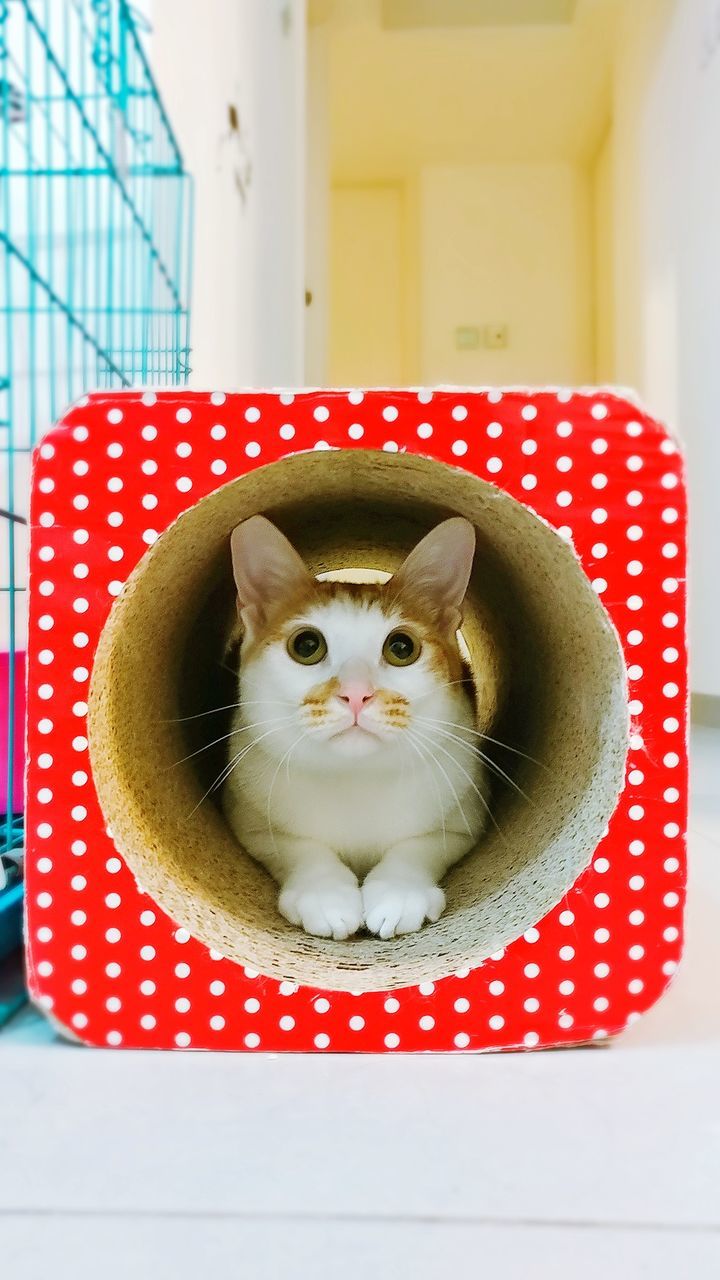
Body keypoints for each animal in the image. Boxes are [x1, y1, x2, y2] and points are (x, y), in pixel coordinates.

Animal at [221, 512, 489, 942]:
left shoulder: (466, 814)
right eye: (306, 645)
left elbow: (422, 845)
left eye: (401, 648)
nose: (357, 693)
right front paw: (325, 896)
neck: (355, 777)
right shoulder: (249, 818)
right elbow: (298, 847)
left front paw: (399, 893)